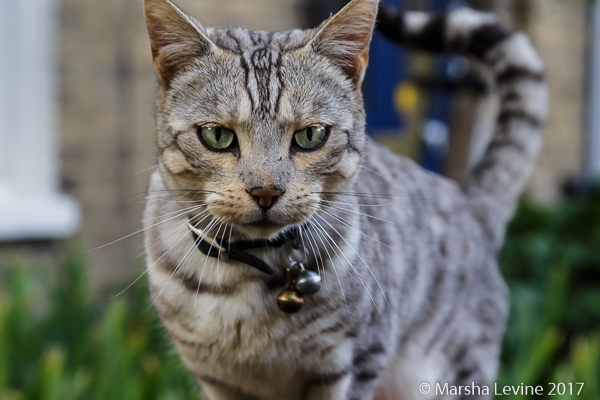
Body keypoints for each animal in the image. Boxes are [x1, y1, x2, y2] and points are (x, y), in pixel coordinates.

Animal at [142, 0, 548, 398]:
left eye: (311, 136)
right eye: (216, 135)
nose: (266, 191)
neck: (247, 279)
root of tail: (471, 204)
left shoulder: (356, 361)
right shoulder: (217, 380)